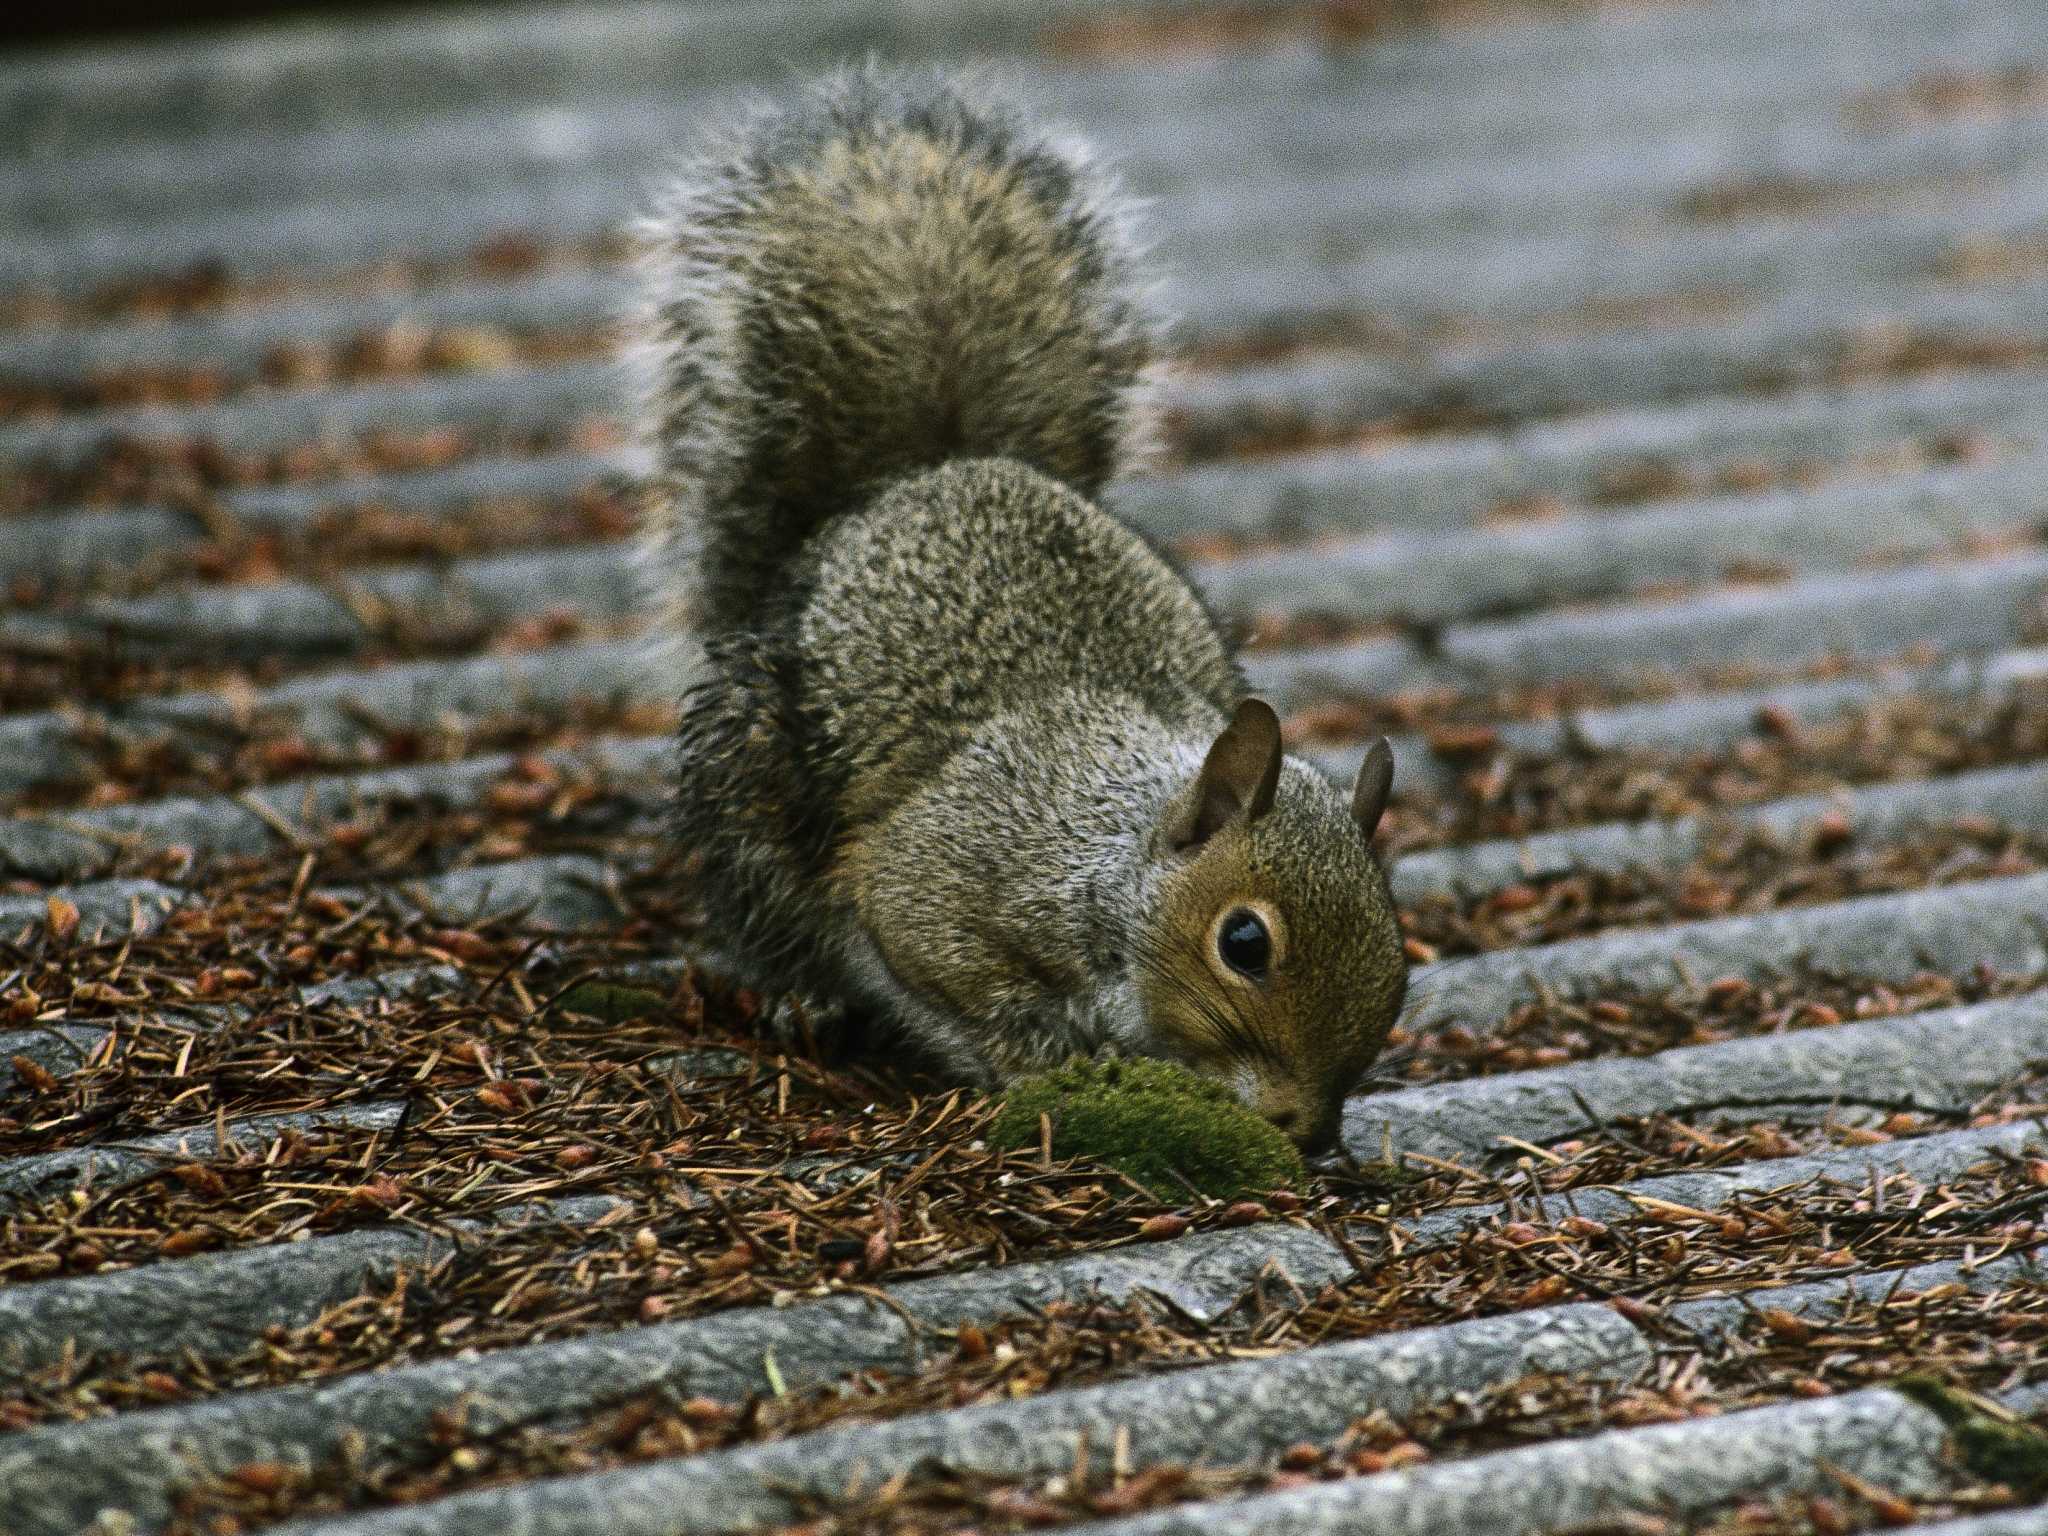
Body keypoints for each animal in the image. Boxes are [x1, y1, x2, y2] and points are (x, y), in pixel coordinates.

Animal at [636, 67, 1407, 1153]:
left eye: (1398, 953)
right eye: (1244, 942)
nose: (1307, 1130)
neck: (1109, 854)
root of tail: (913, 477)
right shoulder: (939, 878)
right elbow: (941, 968)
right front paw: (1046, 1061)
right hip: (750, 775)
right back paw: (797, 994)